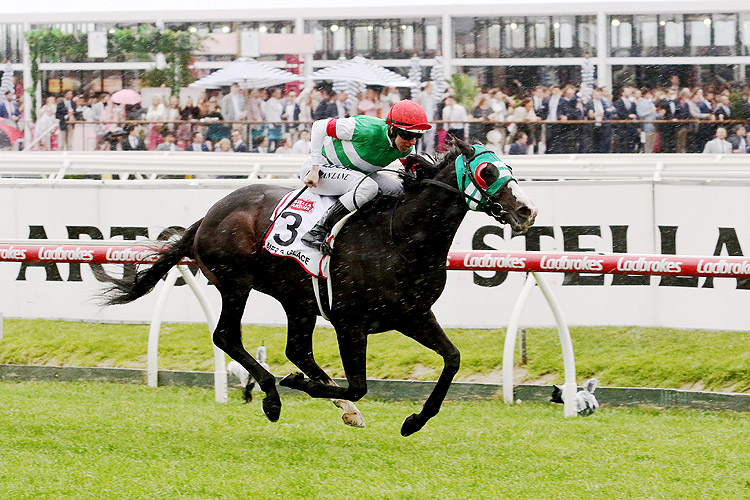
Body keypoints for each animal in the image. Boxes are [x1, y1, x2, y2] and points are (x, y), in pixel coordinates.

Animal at [103, 137, 540, 438]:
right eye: (486, 172)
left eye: (508, 166)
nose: (527, 210)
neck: (400, 235)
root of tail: (207, 216)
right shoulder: (351, 322)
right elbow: (361, 385)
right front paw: (298, 385)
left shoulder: (413, 314)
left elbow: (452, 359)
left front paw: (415, 420)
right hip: (236, 284)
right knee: (227, 335)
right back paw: (275, 395)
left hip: (296, 299)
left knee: (296, 349)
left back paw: (332, 401)